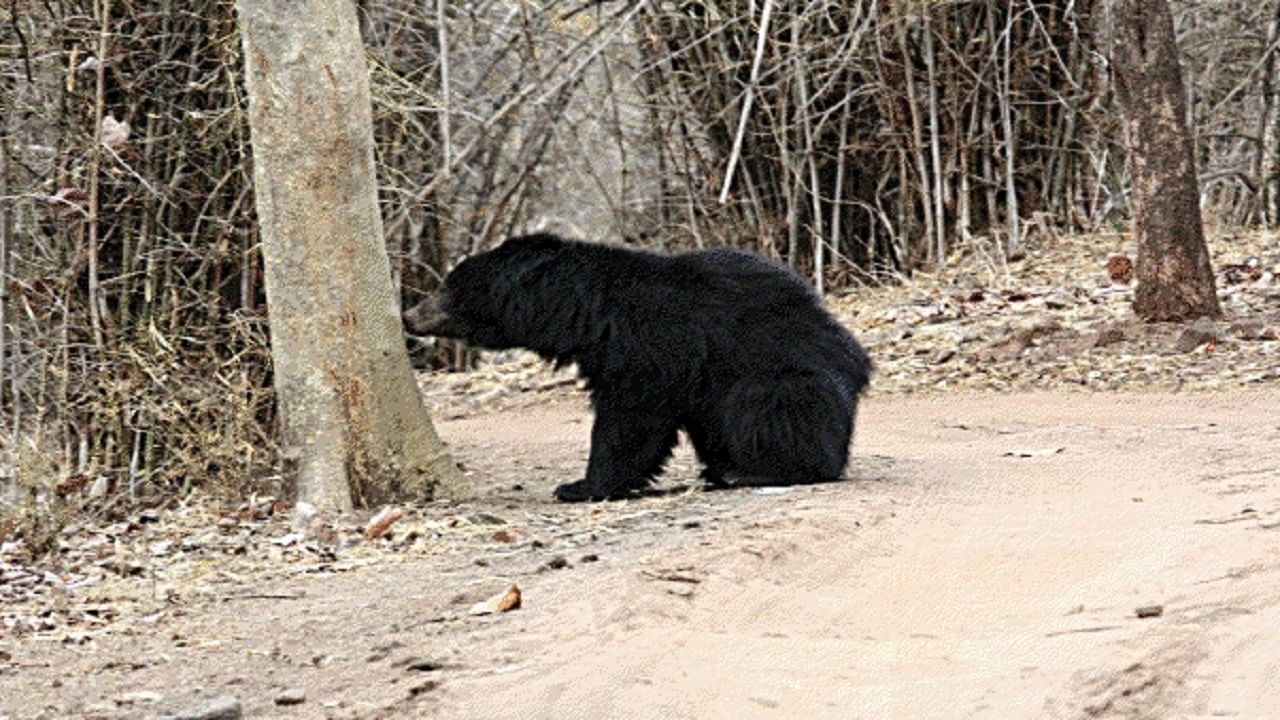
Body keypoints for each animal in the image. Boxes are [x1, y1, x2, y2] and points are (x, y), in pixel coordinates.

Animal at [403, 233, 872, 502]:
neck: (586, 315)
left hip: (785, 378)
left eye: (447, 288)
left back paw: (755, 470)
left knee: (767, 407)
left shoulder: (646, 348)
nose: (408, 316)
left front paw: (577, 487)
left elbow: (629, 422)